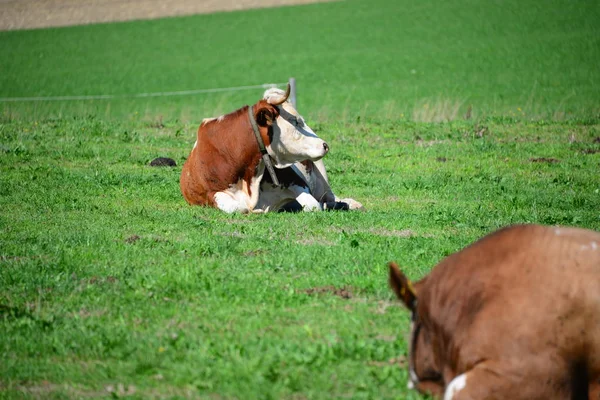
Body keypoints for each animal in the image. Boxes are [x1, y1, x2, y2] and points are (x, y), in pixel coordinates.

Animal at [180, 86, 364, 214]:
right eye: (296, 121)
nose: (324, 145)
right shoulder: (211, 195)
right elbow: (238, 208)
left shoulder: (296, 181)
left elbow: (313, 204)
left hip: (322, 180)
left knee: (330, 197)